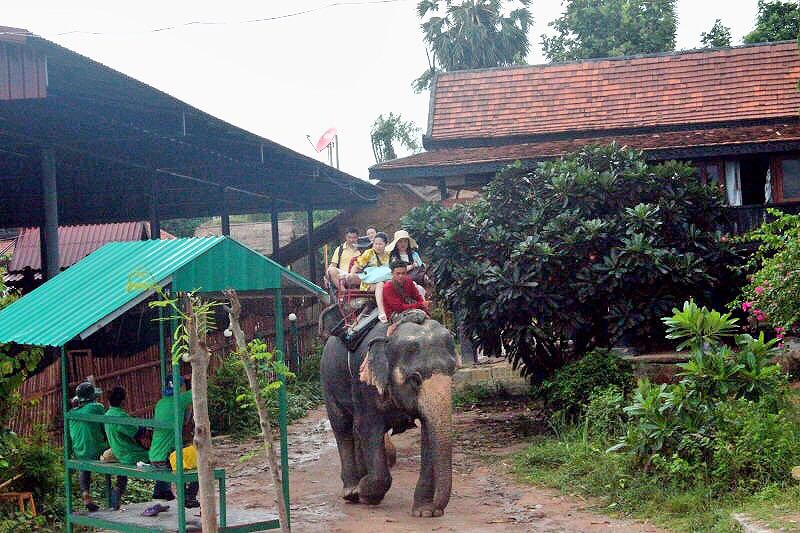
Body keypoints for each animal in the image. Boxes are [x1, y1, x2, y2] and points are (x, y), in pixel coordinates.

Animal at [318, 306, 456, 516]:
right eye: (415, 379)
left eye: (452, 373)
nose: (438, 510)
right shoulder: (364, 385)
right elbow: (368, 429)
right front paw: (366, 494)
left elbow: (427, 433)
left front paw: (423, 512)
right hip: (328, 381)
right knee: (342, 428)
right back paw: (352, 492)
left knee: (354, 431)